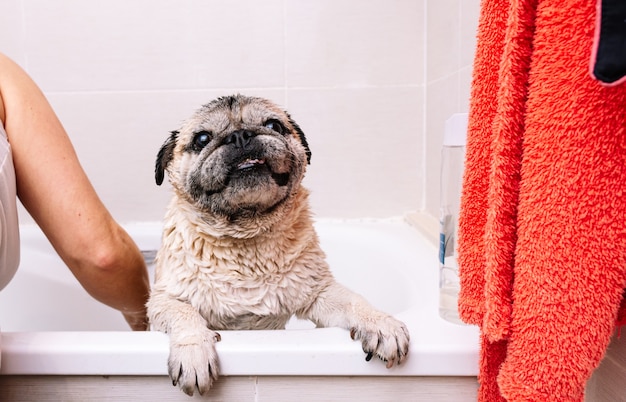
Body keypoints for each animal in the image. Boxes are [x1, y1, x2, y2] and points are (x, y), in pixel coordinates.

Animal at [146, 95, 410, 396]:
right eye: (202, 139)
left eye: (274, 125)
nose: (240, 135)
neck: (246, 234)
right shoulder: (163, 301)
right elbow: (184, 313)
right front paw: (193, 352)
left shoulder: (319, 292)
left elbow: (355, 301)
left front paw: (381, 323)